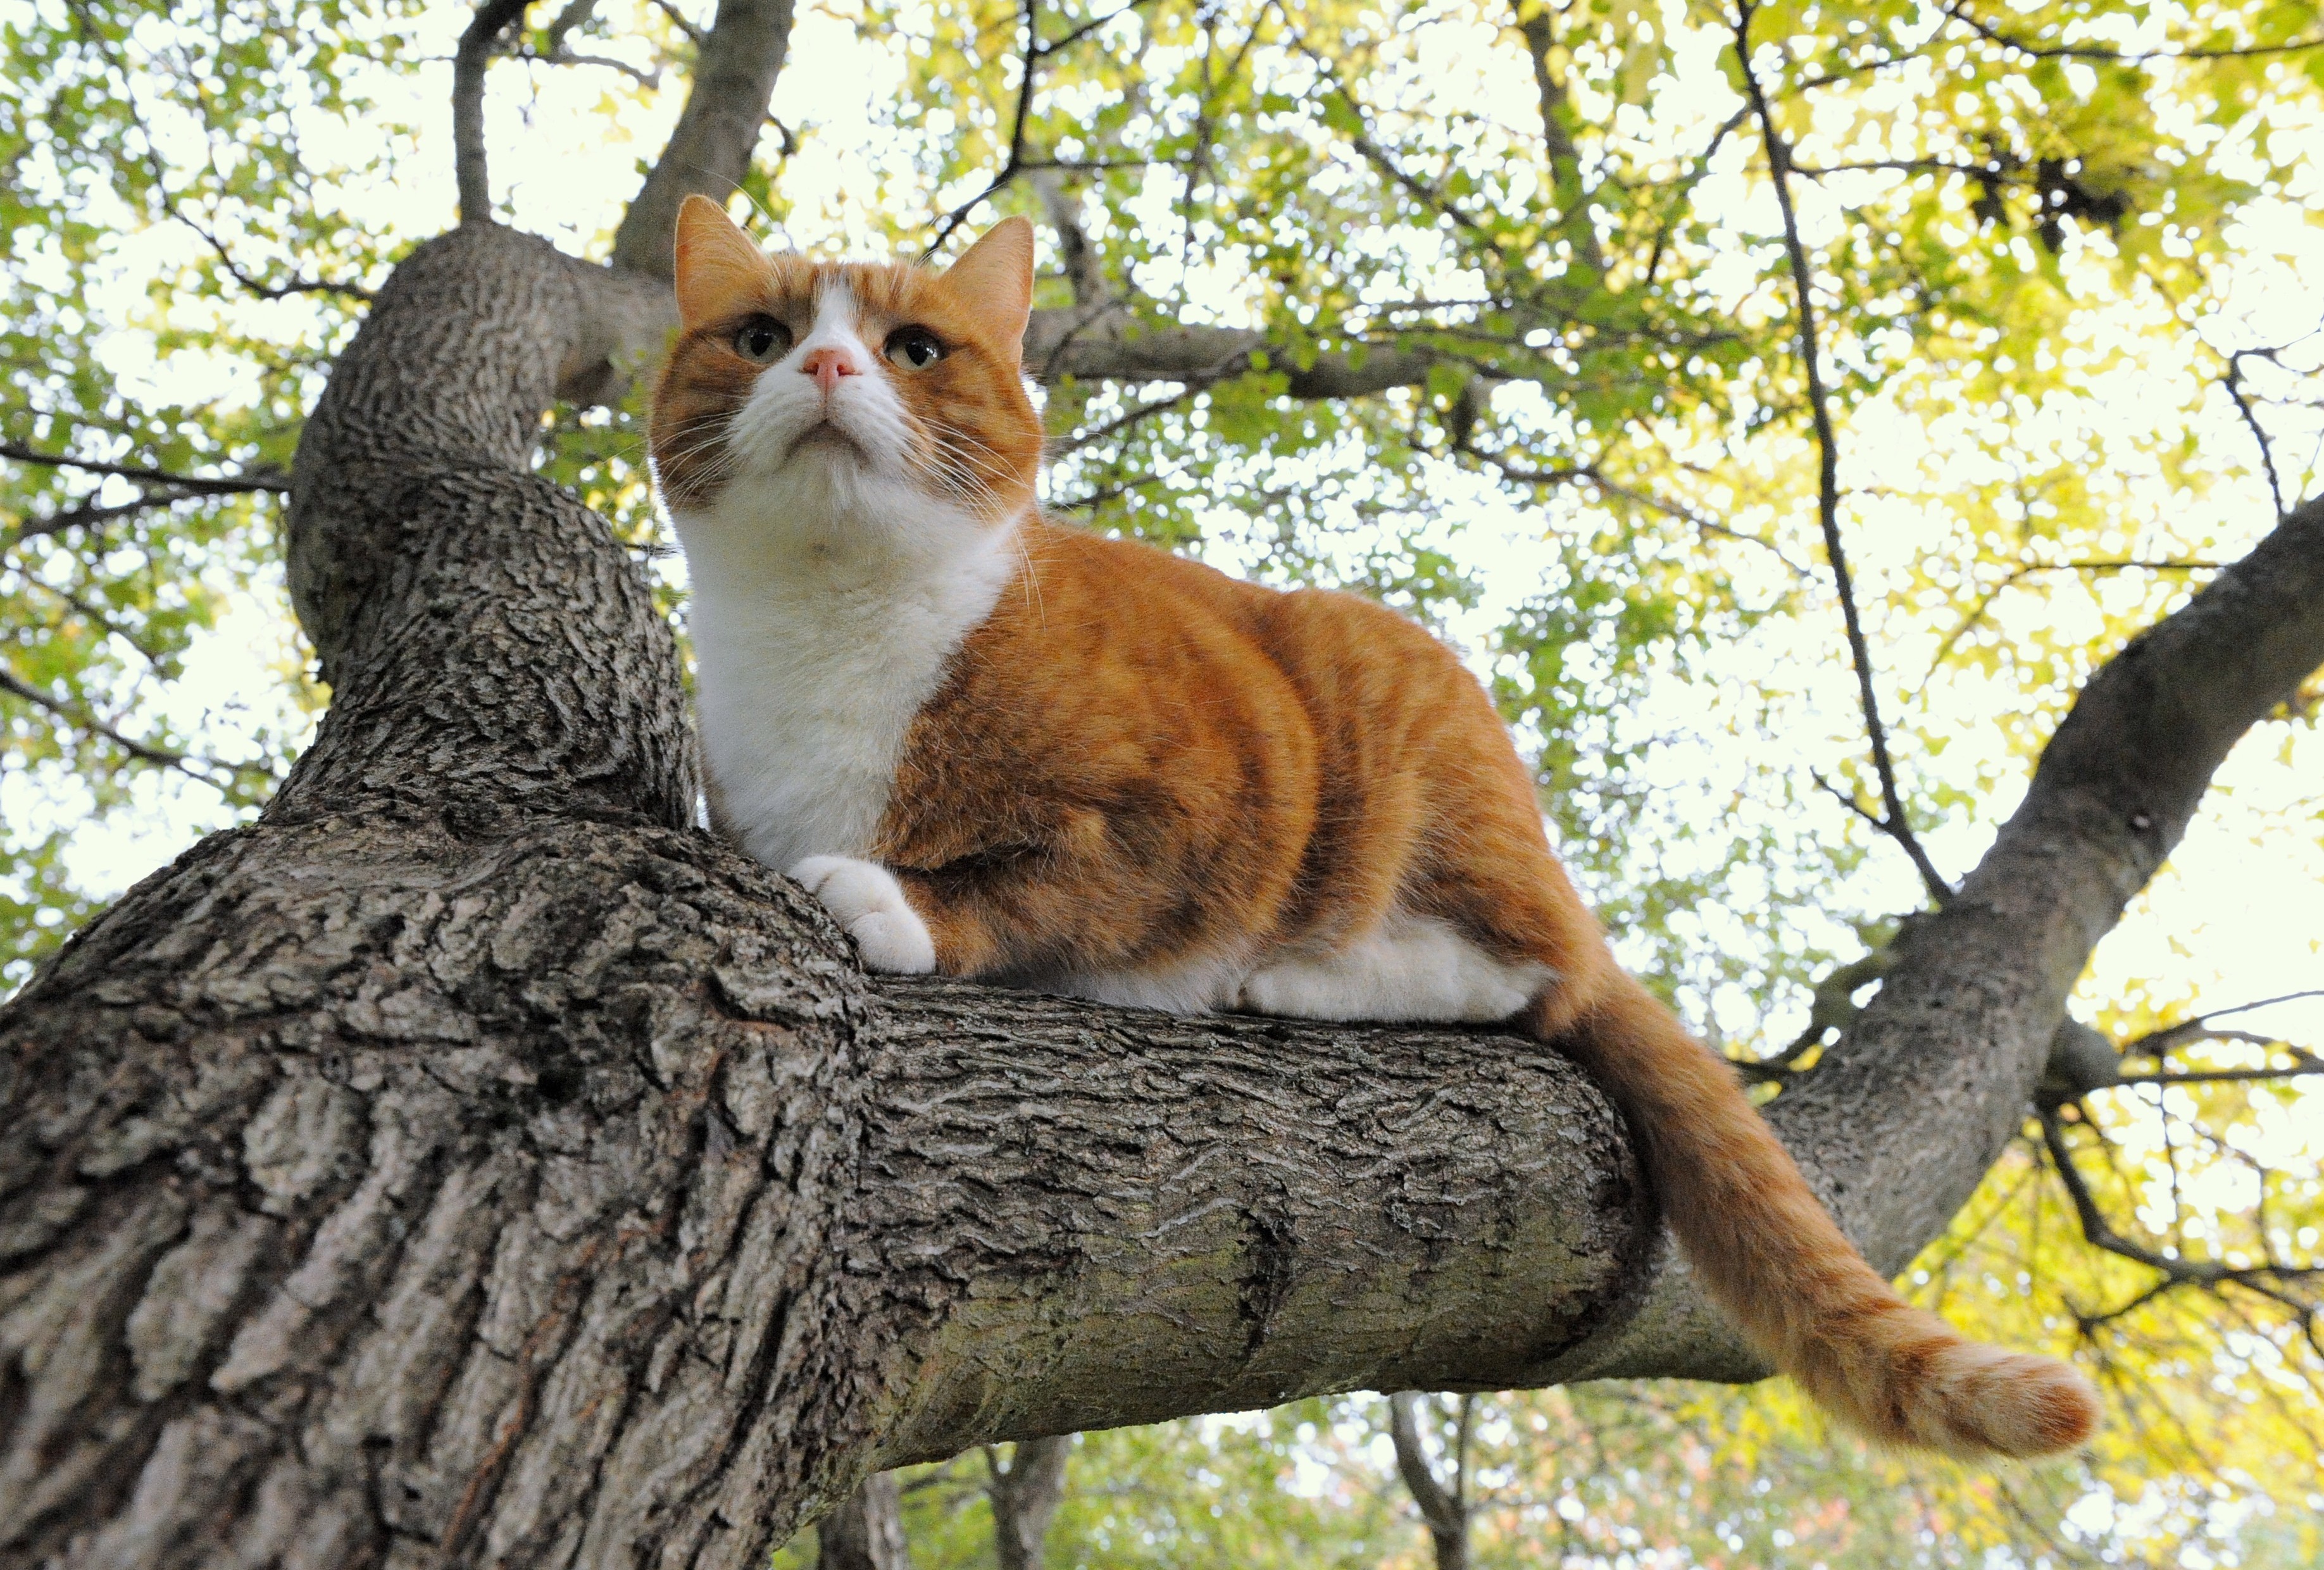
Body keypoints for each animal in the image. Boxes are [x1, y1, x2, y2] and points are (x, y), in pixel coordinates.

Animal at [651, 196, 2110, 1458]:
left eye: (913, 348)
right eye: (762, 336)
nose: (829, 361)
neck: (833, 625)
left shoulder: (1185, 813)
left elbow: (1049, 880)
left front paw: (894, 899)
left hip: (1401, 740)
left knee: (1533, 965)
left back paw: (1306, 972)